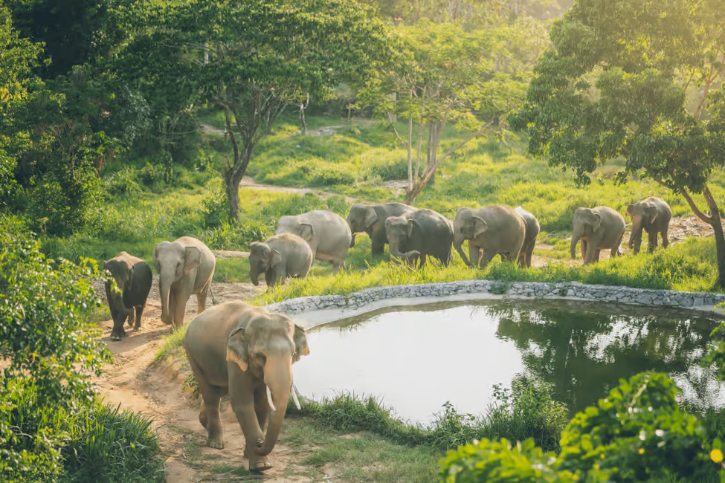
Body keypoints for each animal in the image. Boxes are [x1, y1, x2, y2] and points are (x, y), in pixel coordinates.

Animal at [184, 301, 310, 472]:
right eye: (260, 356)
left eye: (293, 354)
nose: (260, 442)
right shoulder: (234, 360)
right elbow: (243, 404)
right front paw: (261, 466)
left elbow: (262, 405)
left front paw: (251, 457)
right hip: (193, 357)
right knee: (211, 394)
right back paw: (216, 444)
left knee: (219, 390)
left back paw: (204, 422)